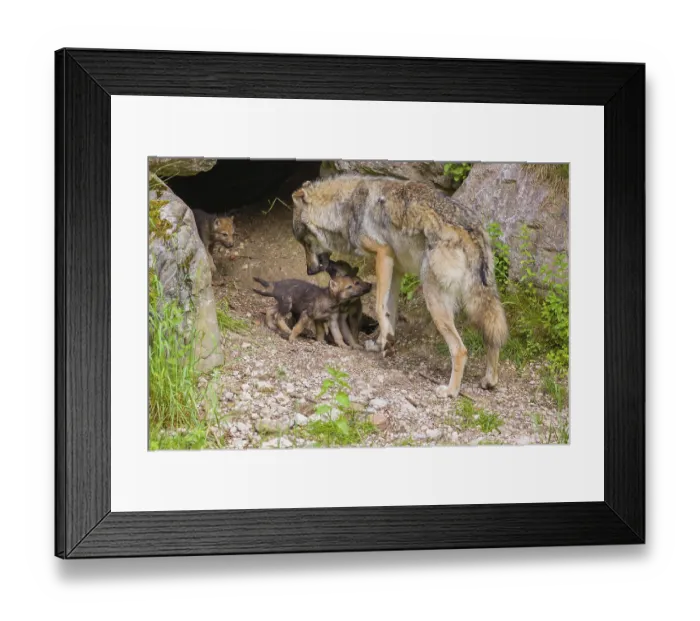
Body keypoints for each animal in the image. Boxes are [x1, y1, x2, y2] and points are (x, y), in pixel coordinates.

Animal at [291, 175, 508, 397]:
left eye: (305, 242)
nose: (309, 271)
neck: (345, 207)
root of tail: (470, 231)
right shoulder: (395, 270)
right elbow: (390, 312)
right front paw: (383, 343)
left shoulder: (382, 254)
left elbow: (379, 307)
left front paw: (383, 340)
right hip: (481, 302)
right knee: (493, 338)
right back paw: (489, 380)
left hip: (434, 300)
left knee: (460, 349)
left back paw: (450, 391)